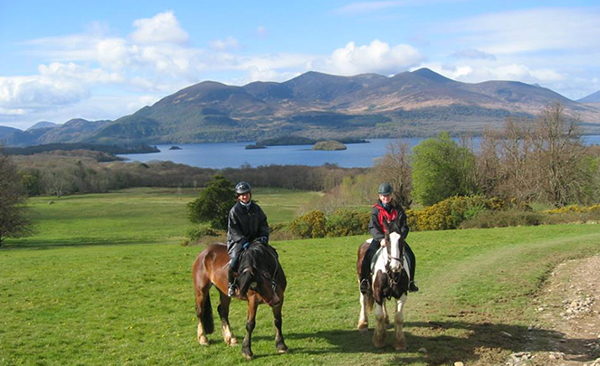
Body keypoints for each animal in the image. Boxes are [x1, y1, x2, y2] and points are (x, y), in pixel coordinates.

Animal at [358, 219, 410, 350]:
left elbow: (398, 317)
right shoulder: (377, 292)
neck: (391, 272)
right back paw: (363, 324)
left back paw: (386, 322)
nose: (395, 266)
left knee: (384, 303)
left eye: (401, 240)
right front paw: (379, 340)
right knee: (363, 300)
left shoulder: (402, 294)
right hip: (362, 283)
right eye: (387, 240)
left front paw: (400, 342)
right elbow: (379, 315)